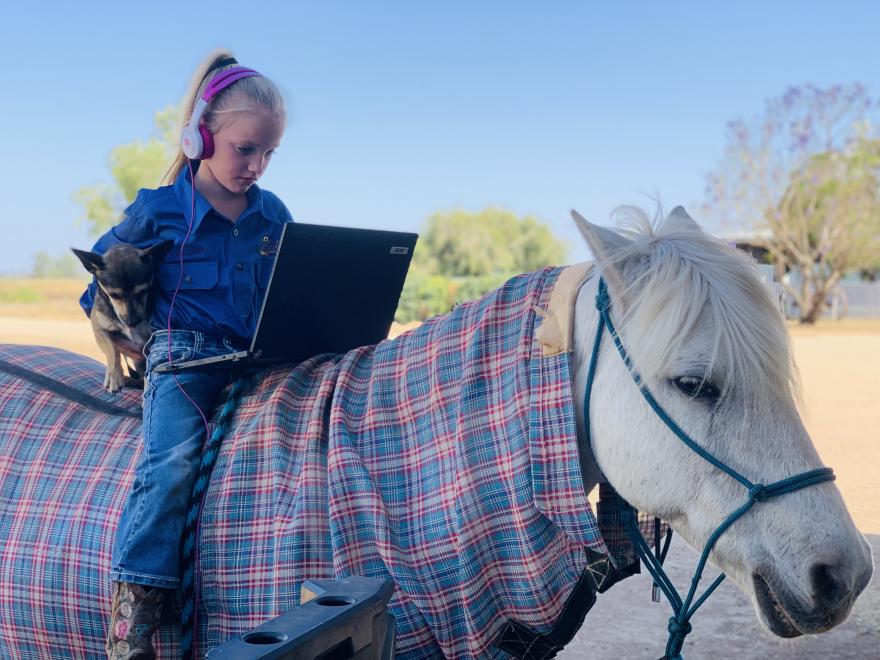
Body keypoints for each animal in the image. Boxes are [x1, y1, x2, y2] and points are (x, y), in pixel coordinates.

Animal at [74, 241, 175, 392]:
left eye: (143, 291)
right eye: (114, 295)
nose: (132, 322)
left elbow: (149, 367)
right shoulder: (99, 330)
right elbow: (112, 351)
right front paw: (114, 376)